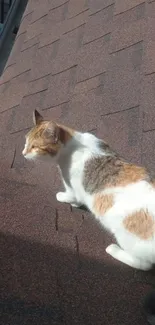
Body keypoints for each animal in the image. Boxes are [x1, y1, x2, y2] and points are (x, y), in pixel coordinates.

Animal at [22, 110, 155, 270]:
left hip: (127, 238)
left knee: (143, 264)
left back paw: (113, 250)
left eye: (34, 147)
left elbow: (68, 197)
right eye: (26, 142)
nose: (23, 153)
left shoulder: (73, 191)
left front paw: (64, 199)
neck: (75, 144)